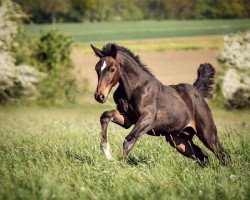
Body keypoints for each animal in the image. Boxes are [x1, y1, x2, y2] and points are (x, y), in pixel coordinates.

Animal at [91, 43, 229, 166]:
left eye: (112, 69)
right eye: (97, 69)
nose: (99, 96)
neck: (135, 88)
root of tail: (197, 91)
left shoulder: (147, 119)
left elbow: (128, 140)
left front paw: (122, 165)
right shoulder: (128, 119)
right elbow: (105, 116)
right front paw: (108, 155)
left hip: (207, 134)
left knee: (222, 153)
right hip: (179, 140)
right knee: (203, 156)